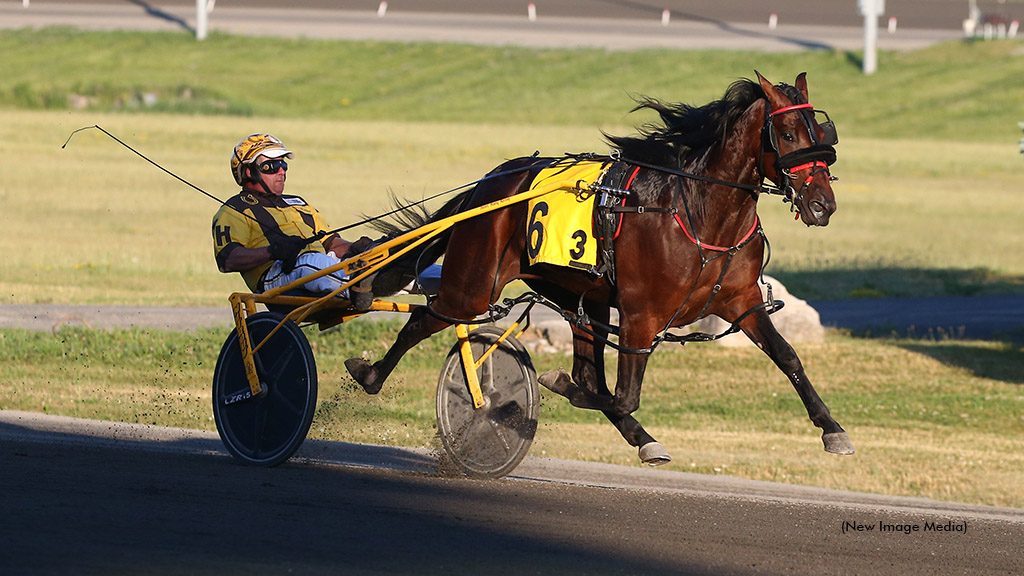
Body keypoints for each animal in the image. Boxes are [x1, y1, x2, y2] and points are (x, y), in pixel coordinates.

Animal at [348, 71, 851, 463]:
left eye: (823, 134)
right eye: (788, 134)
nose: (822, 205)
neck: (700, 213)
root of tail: (489, 183)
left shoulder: (740, 302)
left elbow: (787, 355)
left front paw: (832, 428)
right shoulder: (640, 314)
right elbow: (623, 394)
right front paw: (553, 385)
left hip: (577, 297)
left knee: (588, 369)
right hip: (473, 283)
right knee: (425, 317)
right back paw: (369, 374)